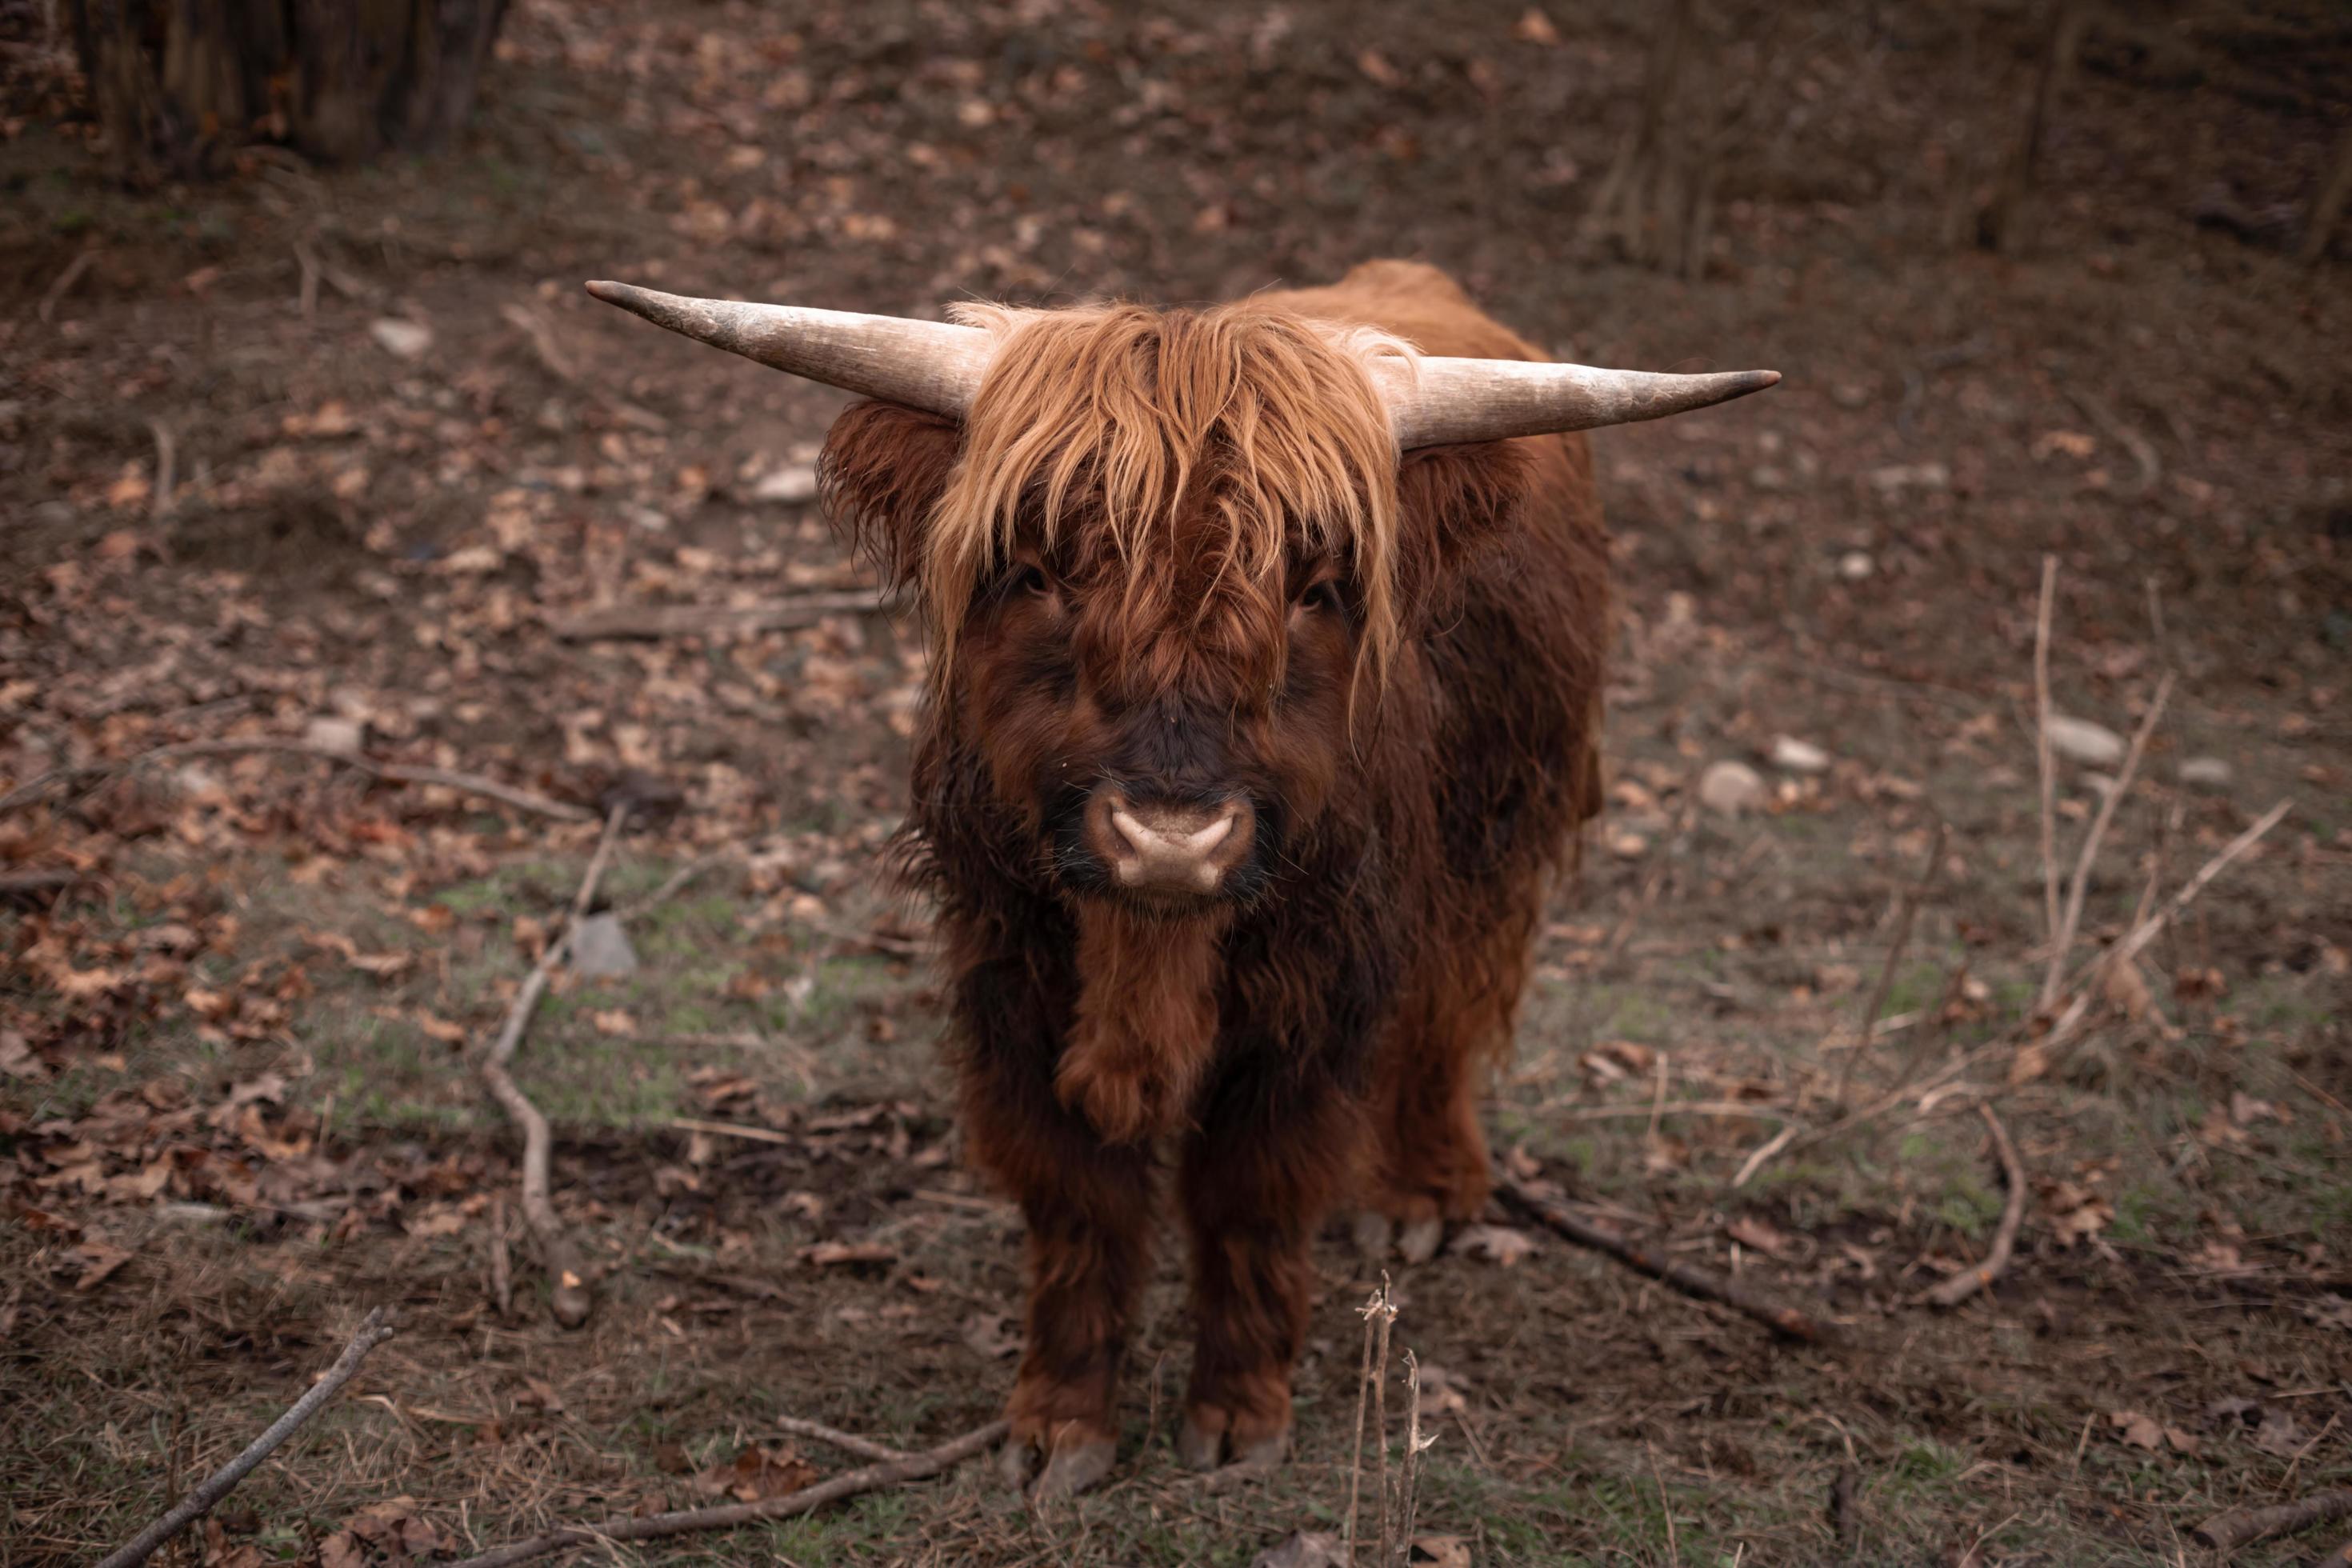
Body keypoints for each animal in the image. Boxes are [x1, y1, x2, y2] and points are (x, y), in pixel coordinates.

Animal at [592, 263, 1778, 1504]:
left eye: (1317, 588)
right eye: (1035, 571)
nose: (1170, 841)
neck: (1149, 956)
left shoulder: (1314, 990)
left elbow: (1255, 1191)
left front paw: (1241, 1413)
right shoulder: (1008, 969)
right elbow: (1078, 1194)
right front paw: (1060, 1424)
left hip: (1501, 823)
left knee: (1454, 999)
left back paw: (1424, 1191)